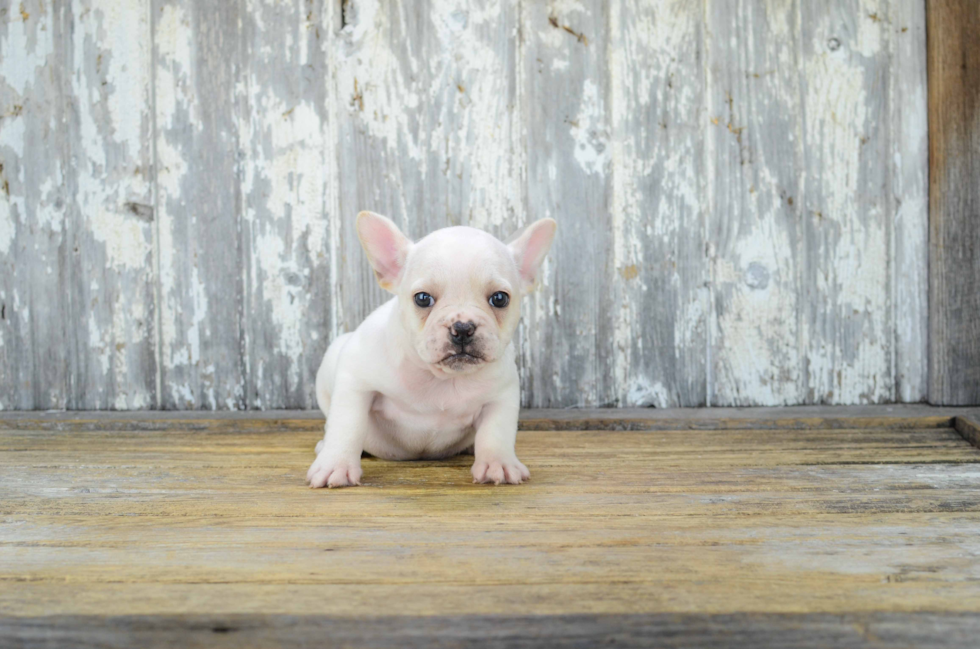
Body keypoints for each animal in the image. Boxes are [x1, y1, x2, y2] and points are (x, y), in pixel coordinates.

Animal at [306, 211, 556, 486]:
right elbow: (347, 424)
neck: (441, 378)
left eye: (500, 299)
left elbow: (496, 431)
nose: (462, 327)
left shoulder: (501, 397)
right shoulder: (356, 381)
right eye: (422, 298)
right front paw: (335, 464)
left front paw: (497, 463)